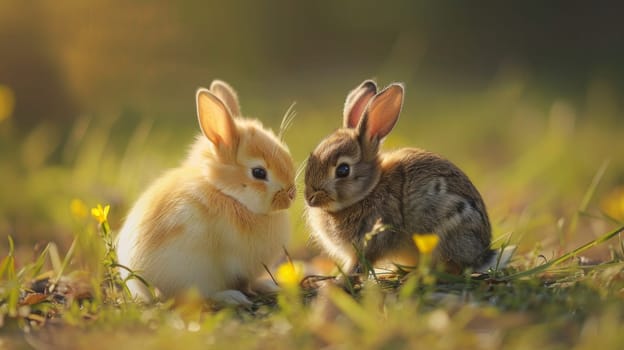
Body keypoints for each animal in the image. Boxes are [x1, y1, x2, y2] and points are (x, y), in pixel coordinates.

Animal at [302, 80, 502, 274]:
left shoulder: (375, 238)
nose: (310, 198)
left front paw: (339, 280)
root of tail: (482, 255)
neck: (369, 191)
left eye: (343, 170)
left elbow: (361, 264)